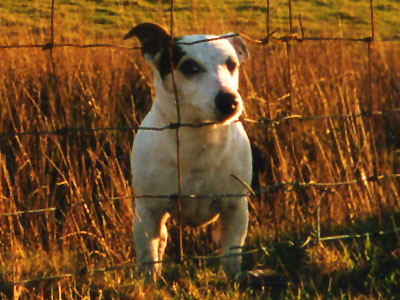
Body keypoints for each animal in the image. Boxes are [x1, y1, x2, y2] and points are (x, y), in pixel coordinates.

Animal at [123, 23, 252, 282]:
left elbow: (231, 257)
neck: (199, 137)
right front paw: (149, 283)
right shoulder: (148, 212)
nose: (229, 101)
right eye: (189, 67)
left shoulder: (236, 208)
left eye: (232, 63)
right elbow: (149, 259)